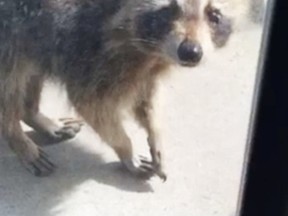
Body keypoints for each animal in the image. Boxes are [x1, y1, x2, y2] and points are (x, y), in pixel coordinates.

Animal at [0, 0, 232, 180]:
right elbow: (90, 104)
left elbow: (146, 95)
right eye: (169, 10)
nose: (191, 52)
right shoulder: (82, 44)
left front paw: (156, 133)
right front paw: (126, 149)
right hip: (11, 30)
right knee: (11, 75)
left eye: (214, 15)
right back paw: (17, 135)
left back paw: (32, 114)